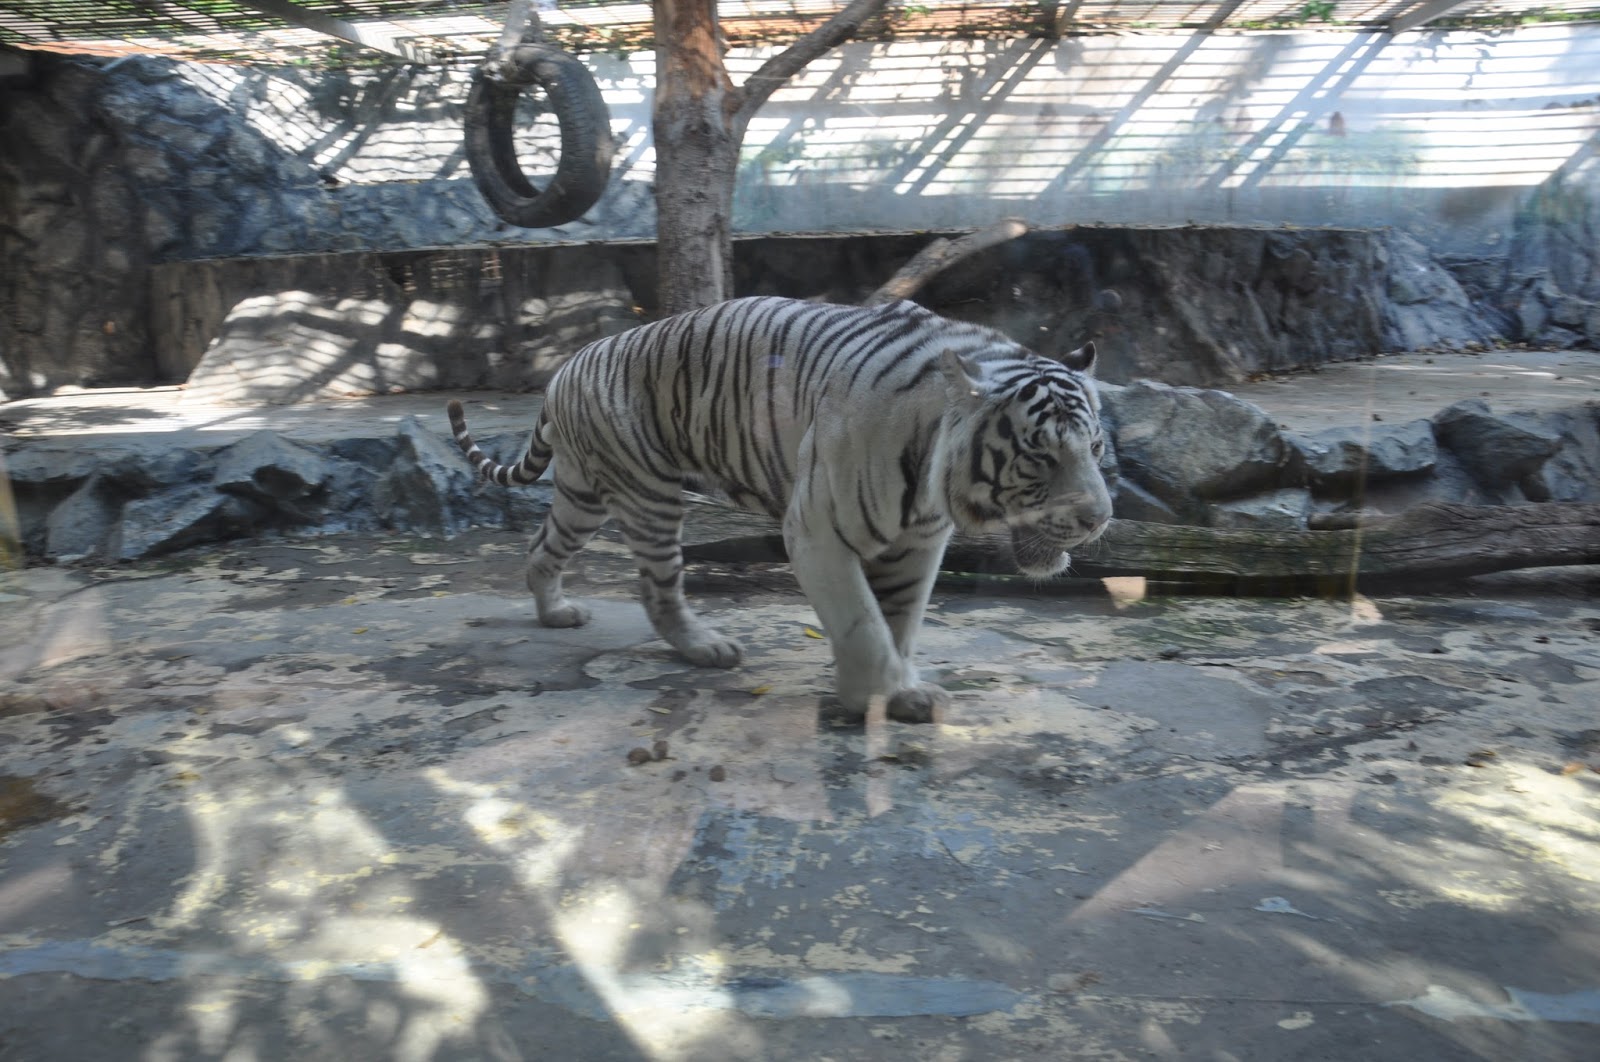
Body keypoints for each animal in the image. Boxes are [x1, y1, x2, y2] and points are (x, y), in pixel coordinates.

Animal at [444, 295, 1107, 722]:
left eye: (1097, 448)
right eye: (1041, 457)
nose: (1098, 519)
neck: (932, 481)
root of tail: (564, 368)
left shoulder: (919, 543)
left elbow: (900, 619)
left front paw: (903, 692)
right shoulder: (817, 532)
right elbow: (865, 624)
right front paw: (869, 694)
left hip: (582, 495)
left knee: (542, 548)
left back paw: (555, 612)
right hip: (648, 494)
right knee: (658, 590)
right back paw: (706, 648)